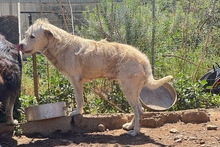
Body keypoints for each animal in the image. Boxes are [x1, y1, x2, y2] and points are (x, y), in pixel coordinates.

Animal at [18, 18, 173, 137]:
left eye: (32, 36)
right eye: (25, 34)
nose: (19, 45)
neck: (60, 45)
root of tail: (144, 59)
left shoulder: (75, 80)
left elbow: (79, 99)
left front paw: (76, 112)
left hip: (128, 89)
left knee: (138, 110)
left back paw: (135, 132)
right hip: (134, 90)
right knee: (139, 110)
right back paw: (130, 126)